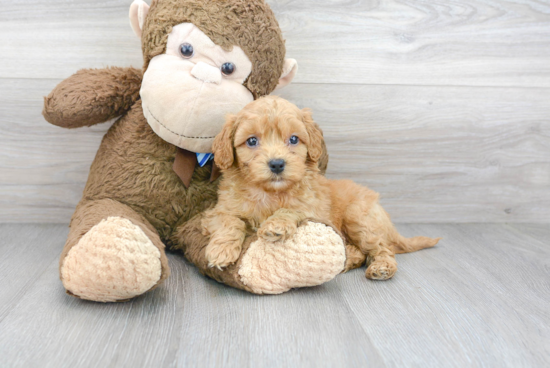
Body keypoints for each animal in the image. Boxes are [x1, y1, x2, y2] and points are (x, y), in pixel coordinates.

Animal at [203, 96, 440, 280]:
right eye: (252, 141)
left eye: (294, 139)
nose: (277, 164)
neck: (271, 193)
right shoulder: (218, 210)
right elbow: (230, 221)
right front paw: (221, 250)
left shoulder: (313, 209)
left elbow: (291, 209)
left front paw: (276, 225)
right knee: (361, 252)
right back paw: (349, 258)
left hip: (360, 218)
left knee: (382, 247)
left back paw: (382, 267)